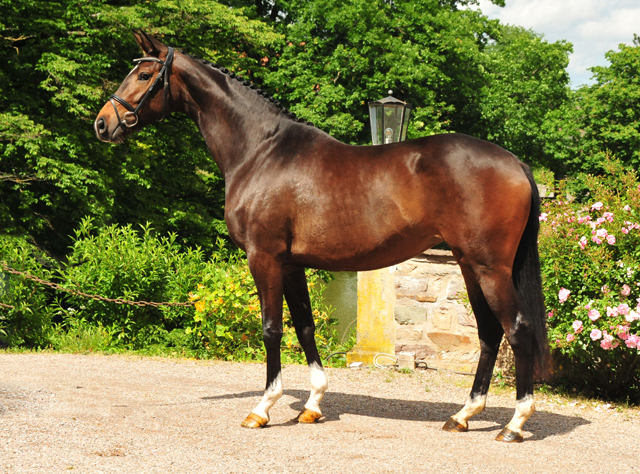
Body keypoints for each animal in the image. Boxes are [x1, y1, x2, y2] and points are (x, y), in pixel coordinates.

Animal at [94, 31, 552, 442]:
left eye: (144, 74)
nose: (103, 123)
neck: (260, 150)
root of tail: (515, 162)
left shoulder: (264, 257)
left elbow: (271, 329)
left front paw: (262, 409)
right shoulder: (292, 263)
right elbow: (305, 327)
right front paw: (313, 405)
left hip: (489, 267)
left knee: (516, 328)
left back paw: (514, 424)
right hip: (469, 265)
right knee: (489, 332)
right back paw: (463, 415)